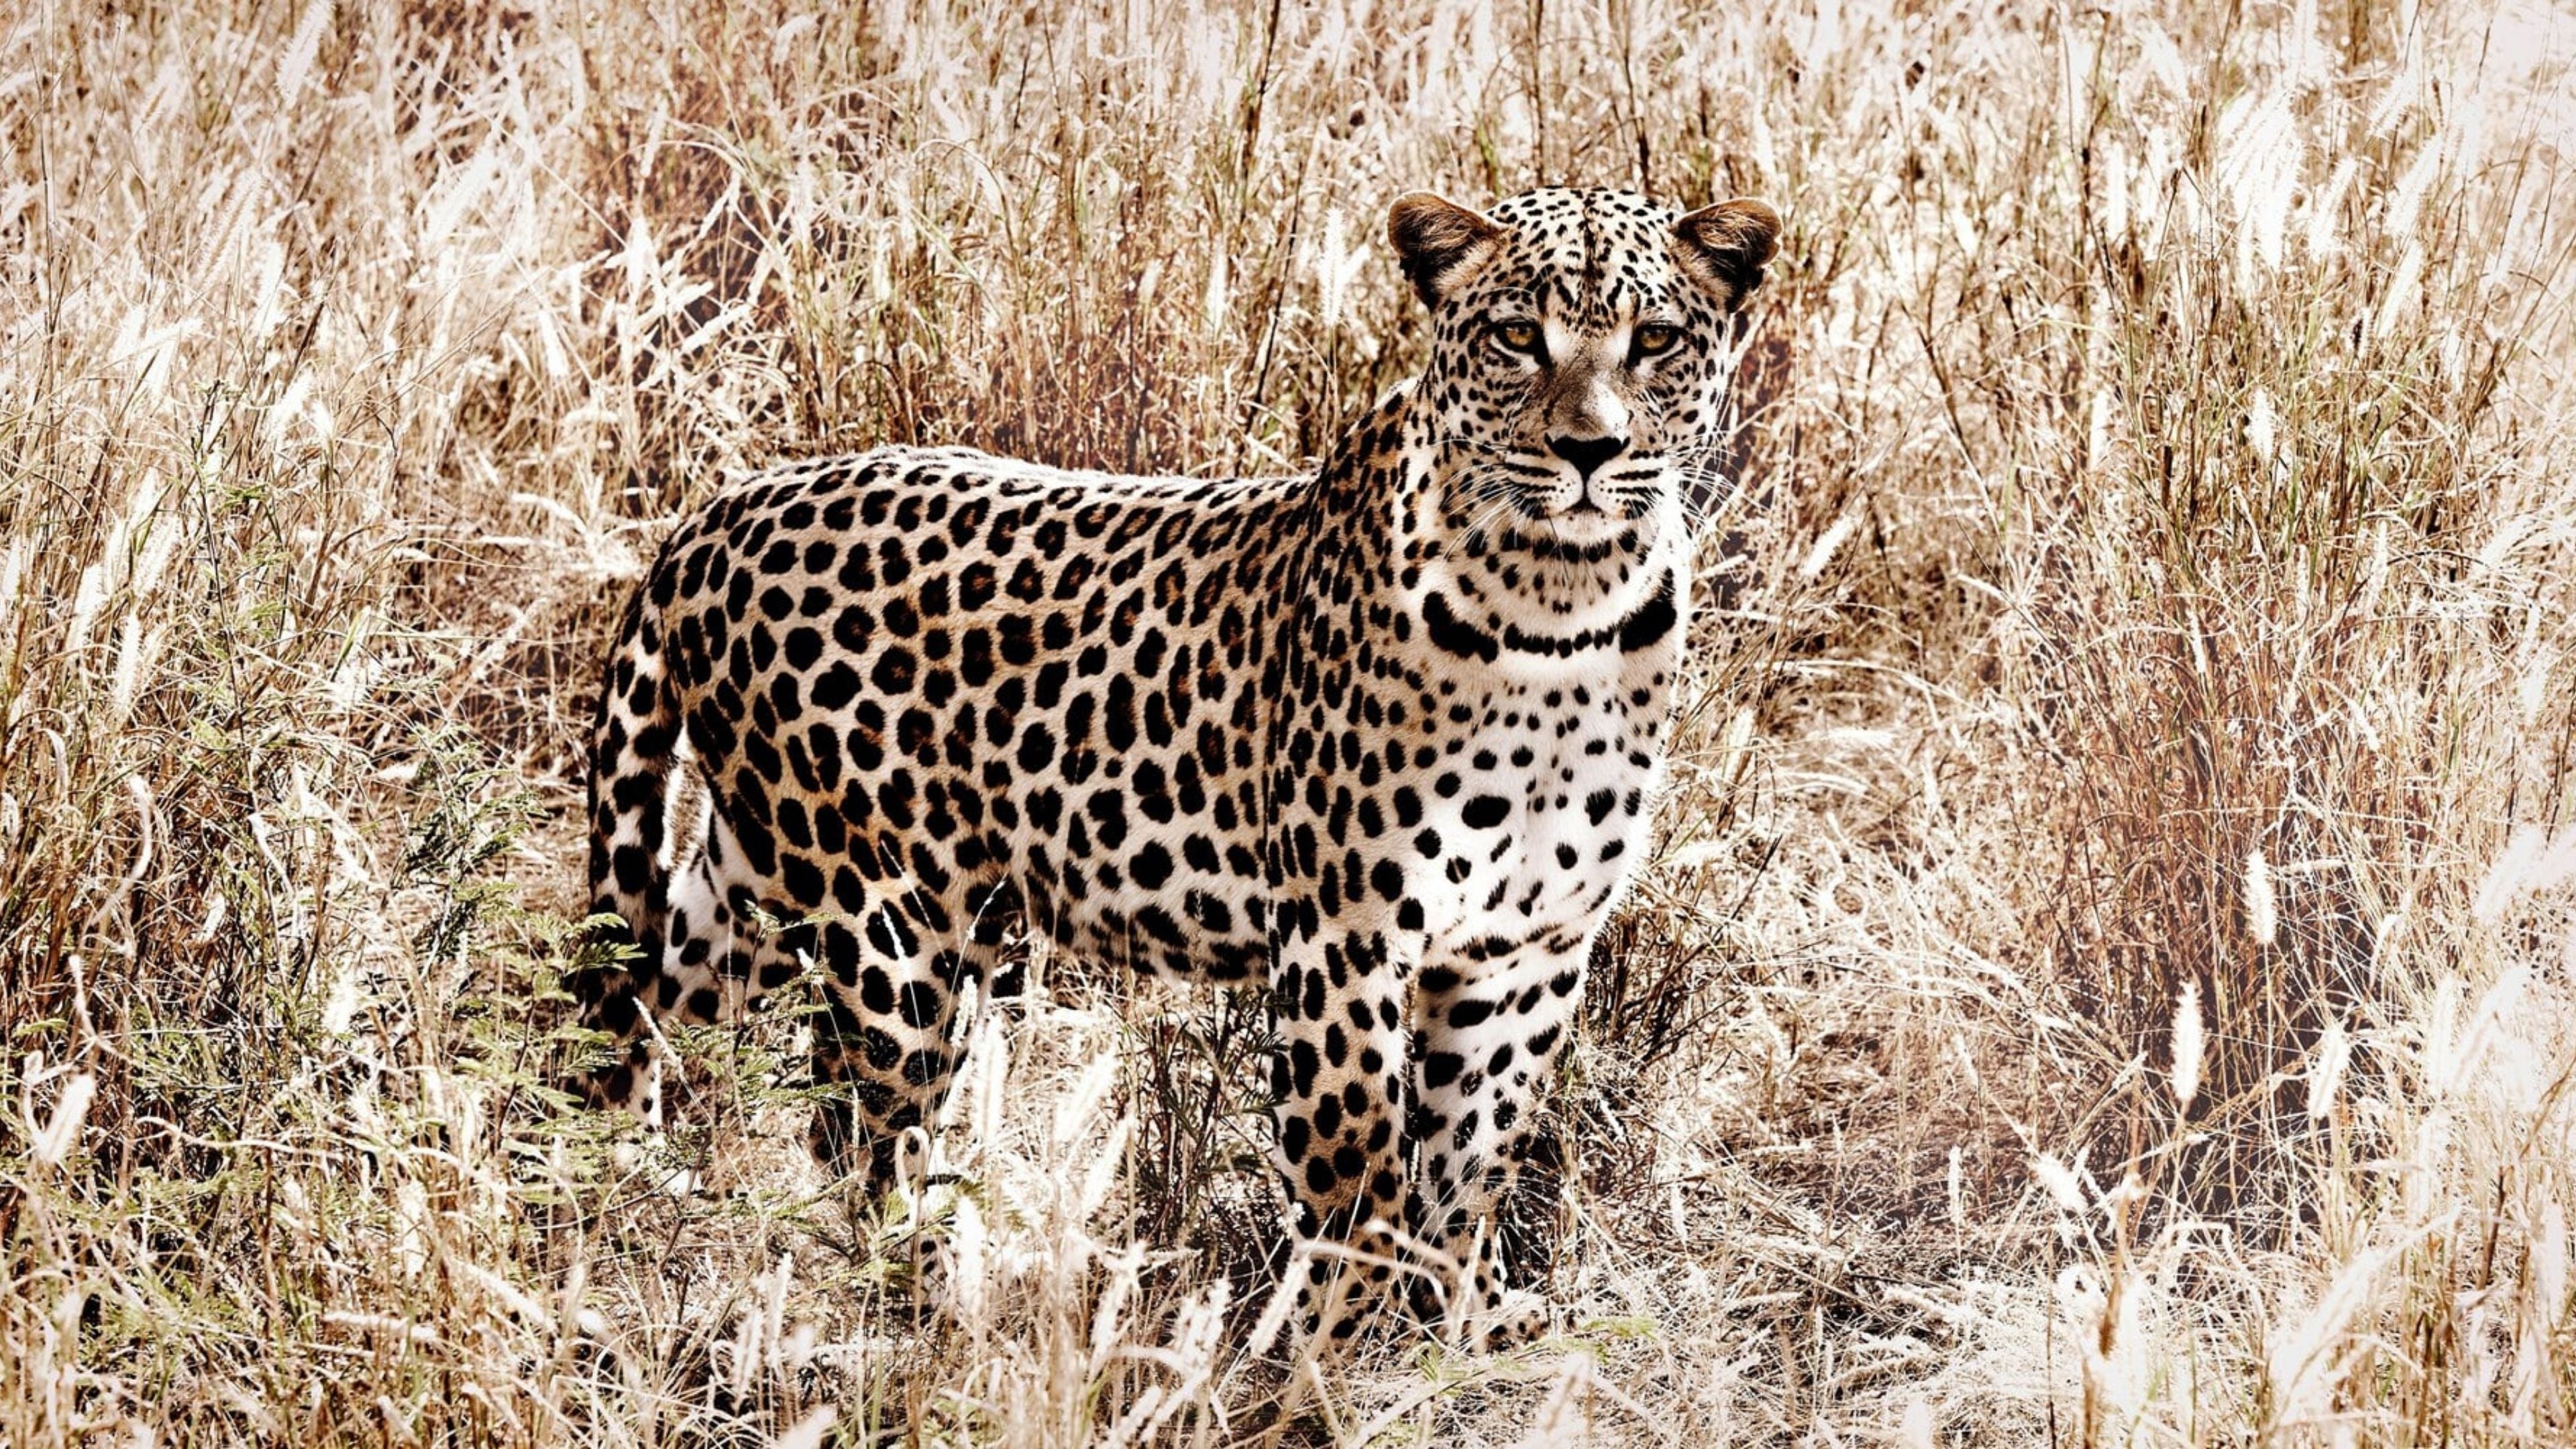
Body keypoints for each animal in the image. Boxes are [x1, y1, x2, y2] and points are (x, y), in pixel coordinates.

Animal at [573, 184, 1781, 1347]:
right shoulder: (1345, 936)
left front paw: (1464, 1322)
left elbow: (1471, 1161)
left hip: (775, 874)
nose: (1591, 452)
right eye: (1520, 337)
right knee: (866, 1130)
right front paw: (1337, 1351)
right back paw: (933, 1302)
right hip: (890, 922)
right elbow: (1355, 1166)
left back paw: (612, 1174)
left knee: (648, 983)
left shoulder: (1523, 950)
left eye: (1656, 340)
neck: (1562, 611)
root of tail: (717, 513)